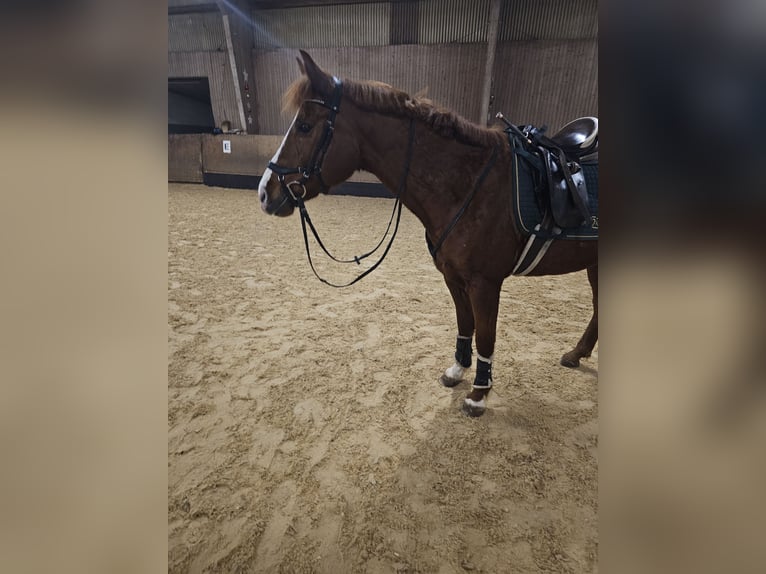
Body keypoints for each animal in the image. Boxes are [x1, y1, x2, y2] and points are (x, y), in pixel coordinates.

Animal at [260, 50, 600, 418]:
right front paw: (457, 371)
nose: (265, 192)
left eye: (305, 126)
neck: (471, 183)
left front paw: (479, 394)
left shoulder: (485, 283)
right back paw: (576, 354)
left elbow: (486, 335)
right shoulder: (453, 277)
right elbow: (465, 325)